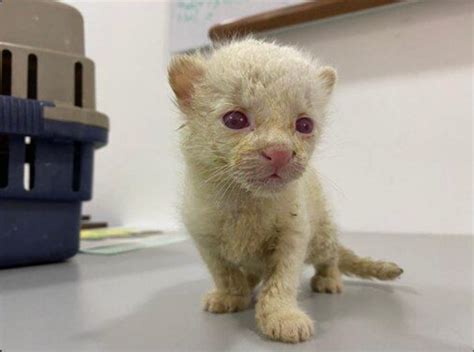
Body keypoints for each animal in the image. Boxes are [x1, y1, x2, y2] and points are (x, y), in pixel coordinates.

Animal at [168, 39, 402, 344]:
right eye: (235, 119)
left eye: (304, 125)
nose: (278, 152)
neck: (245, 201)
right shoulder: (203, 235)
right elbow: (224, 272)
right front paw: (230, 296)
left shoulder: (294, 233)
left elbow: (281, 280)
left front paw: (284, 318)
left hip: (321, 235)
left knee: (331, 257)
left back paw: (329, 280)